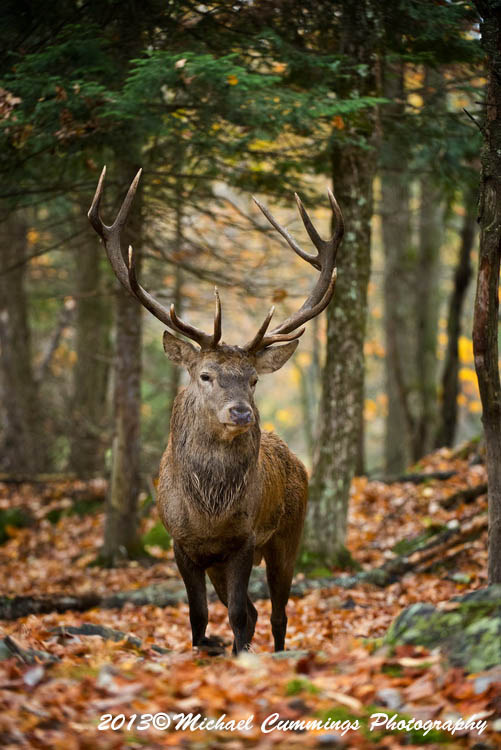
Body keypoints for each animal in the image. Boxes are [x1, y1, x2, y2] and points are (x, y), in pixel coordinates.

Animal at [88, 167, 344, 654]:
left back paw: (277, 653)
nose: (241, 413)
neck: (209, 514)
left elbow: (241, 615)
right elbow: (199, 616)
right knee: (257, 611)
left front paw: (241, 658)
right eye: (205, 375)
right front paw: (202, 652)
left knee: (276, 612)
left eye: (254, 379)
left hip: (289, 534)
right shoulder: (181, 544)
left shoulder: (243, 541)